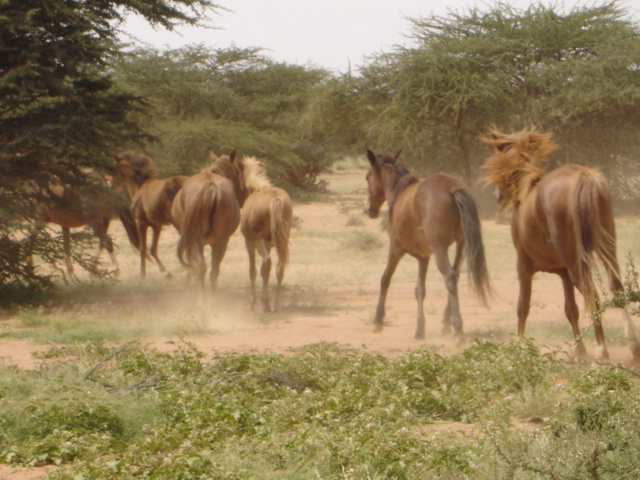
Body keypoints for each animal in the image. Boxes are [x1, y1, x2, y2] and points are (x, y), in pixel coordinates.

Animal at [114, 150, 186, 278]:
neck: (140, 187)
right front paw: (166, 272)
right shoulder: (157, 226)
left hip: (180, 223)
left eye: (113, 168)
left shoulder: (141, 224)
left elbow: (143, 249)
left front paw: (142, 274)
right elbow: (153, 249)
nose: (111, 185)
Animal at [240, 158, 292, 314]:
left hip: (259, 241)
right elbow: (264, 272)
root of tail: (276, 199)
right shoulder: (268, 244)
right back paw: (275, 305)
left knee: (268, 263)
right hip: (280, 242)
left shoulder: (250, 242)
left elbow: (253, 270)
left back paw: (267, 304)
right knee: (279, 268)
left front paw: (253, 303)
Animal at [364, 148, 490, 340]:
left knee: (450, 277)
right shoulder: (424, 257)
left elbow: (385, 279)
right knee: (455, 275)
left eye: (367, 177)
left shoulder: (395, 249)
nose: (369, 210)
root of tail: (452, 188)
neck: (399, 193)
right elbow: (420, 290)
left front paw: (378, 321)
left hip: (440, 249)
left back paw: (457, 327)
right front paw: (419, 329)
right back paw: (446, 322)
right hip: (461, 245)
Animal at [480, 126, 640, 364]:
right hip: (605, 250)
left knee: (593, 295)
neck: (527, 190)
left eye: (499, 157)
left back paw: (602, 350)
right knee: (616, 288)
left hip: (576, 263)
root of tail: (581, 176)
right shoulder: (564, 273)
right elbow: (571, 310)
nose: (497, 196)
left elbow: (522, 306)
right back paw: (632, 345)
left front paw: (518, 345)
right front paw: (580, 350)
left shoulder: (523, 267)